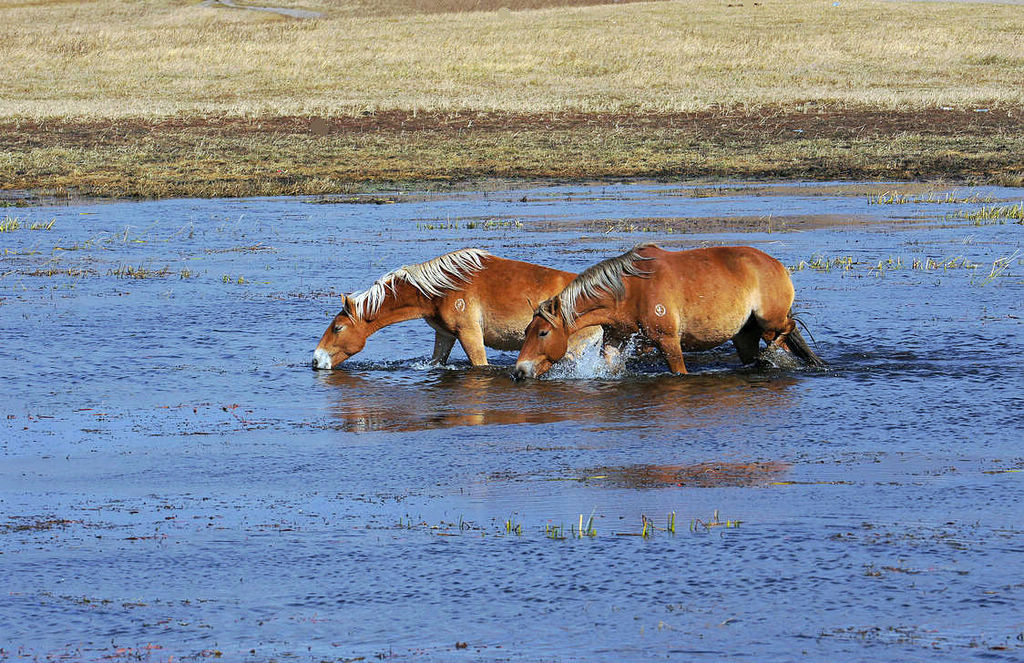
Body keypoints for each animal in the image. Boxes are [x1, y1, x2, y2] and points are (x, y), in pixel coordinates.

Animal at [512, 243, 823, 379]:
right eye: (527, 330)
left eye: (543, 332)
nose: (519, 371)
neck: (628, 290)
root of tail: (777, 265)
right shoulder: (615, 339)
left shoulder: (668, 341)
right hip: (744, 335)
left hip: (770, 321)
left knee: (788, 330)